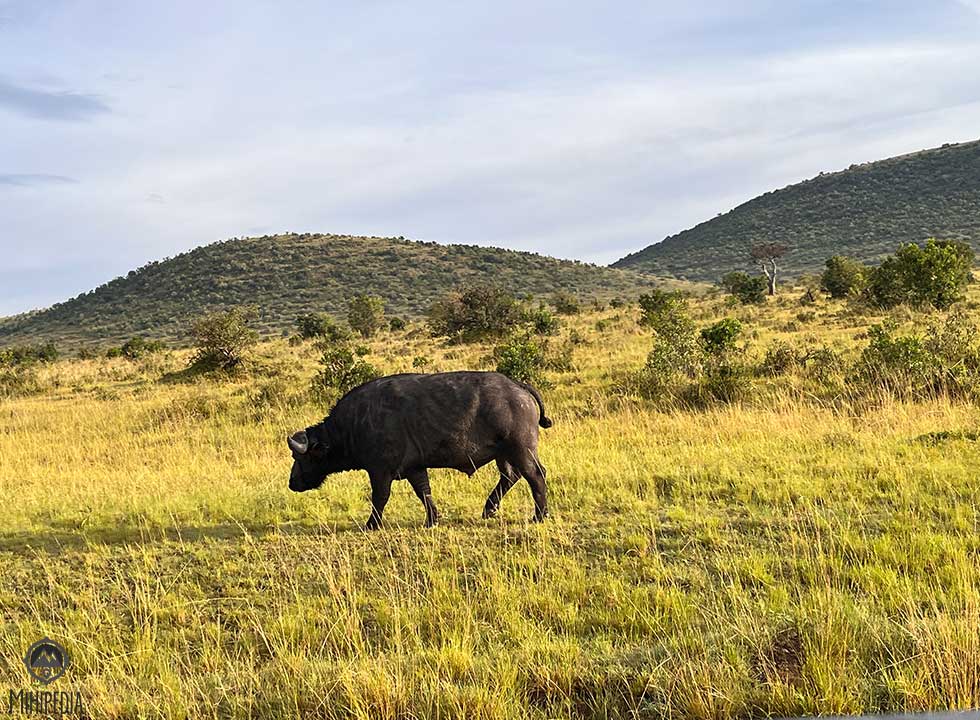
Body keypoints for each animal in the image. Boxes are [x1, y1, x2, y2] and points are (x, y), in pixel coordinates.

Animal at [286, 371, 552, 529]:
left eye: (299, 457)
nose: (292, 482)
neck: (354, 423)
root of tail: (516, 386)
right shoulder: (415, 468)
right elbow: (424, 492)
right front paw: (432, 519)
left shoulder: (380, 471)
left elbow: (380, 497)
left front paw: (372, 524)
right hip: (503, 454)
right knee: (510, 476)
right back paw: (489, 508)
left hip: (521, 449)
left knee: (535, 475)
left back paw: (539, 515)